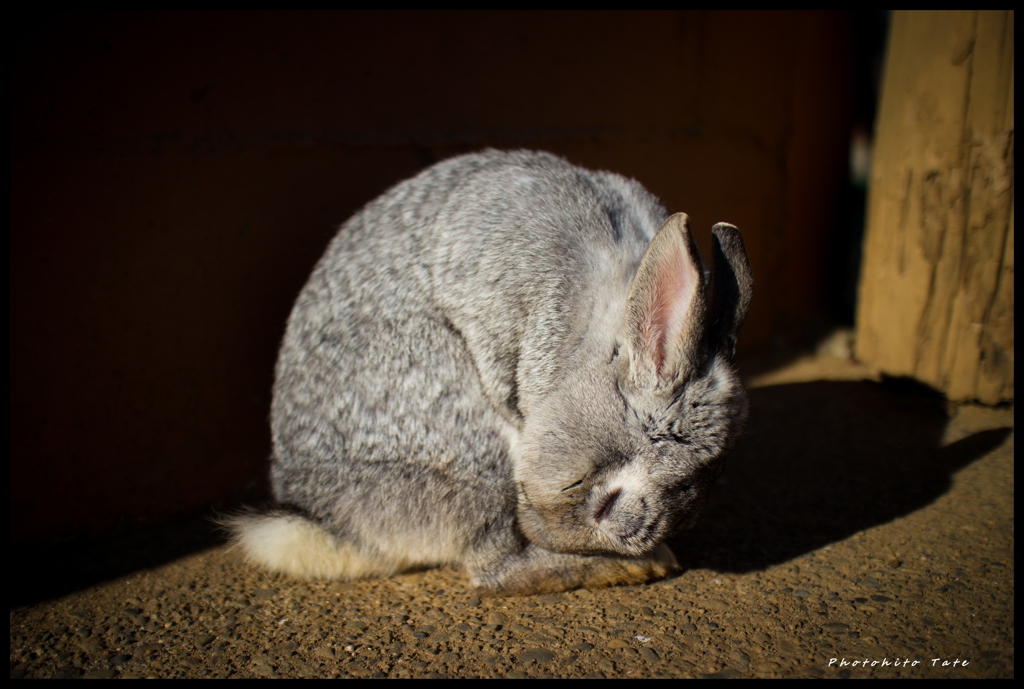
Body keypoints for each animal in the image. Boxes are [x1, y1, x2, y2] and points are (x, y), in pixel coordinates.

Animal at [234, 149, 761, 589]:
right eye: (608, 502)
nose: (634, 535)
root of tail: (328, 520)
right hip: (467, 446)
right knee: (496, 568)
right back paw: (639, 567)